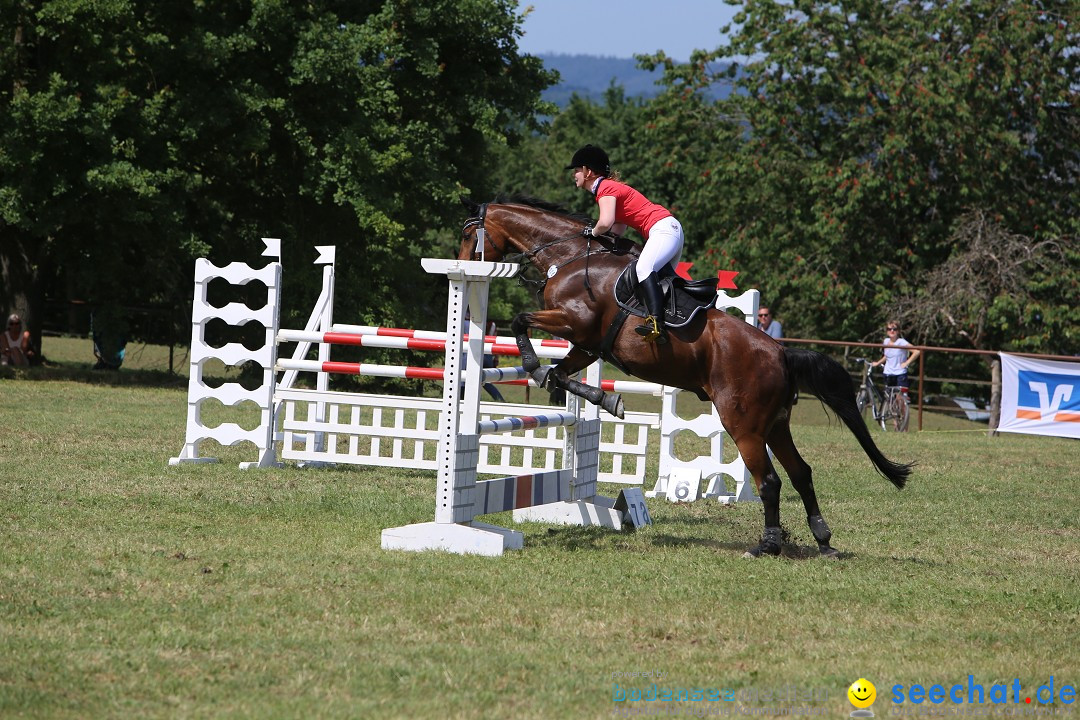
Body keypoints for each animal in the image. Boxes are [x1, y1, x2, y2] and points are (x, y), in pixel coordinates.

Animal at [457, 195, 911, 557]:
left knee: (769, 481)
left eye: (467, 234)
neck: (568, 256)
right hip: (776, 424)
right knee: (801, 474)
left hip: (744, 425)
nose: (461, 268)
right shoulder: (587, 345)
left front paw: (535, 367)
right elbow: (560, 375)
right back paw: (823, 540)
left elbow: (522, 322)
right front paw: (605, 398)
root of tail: (780, 352)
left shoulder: (577, 325)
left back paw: (767, 545)